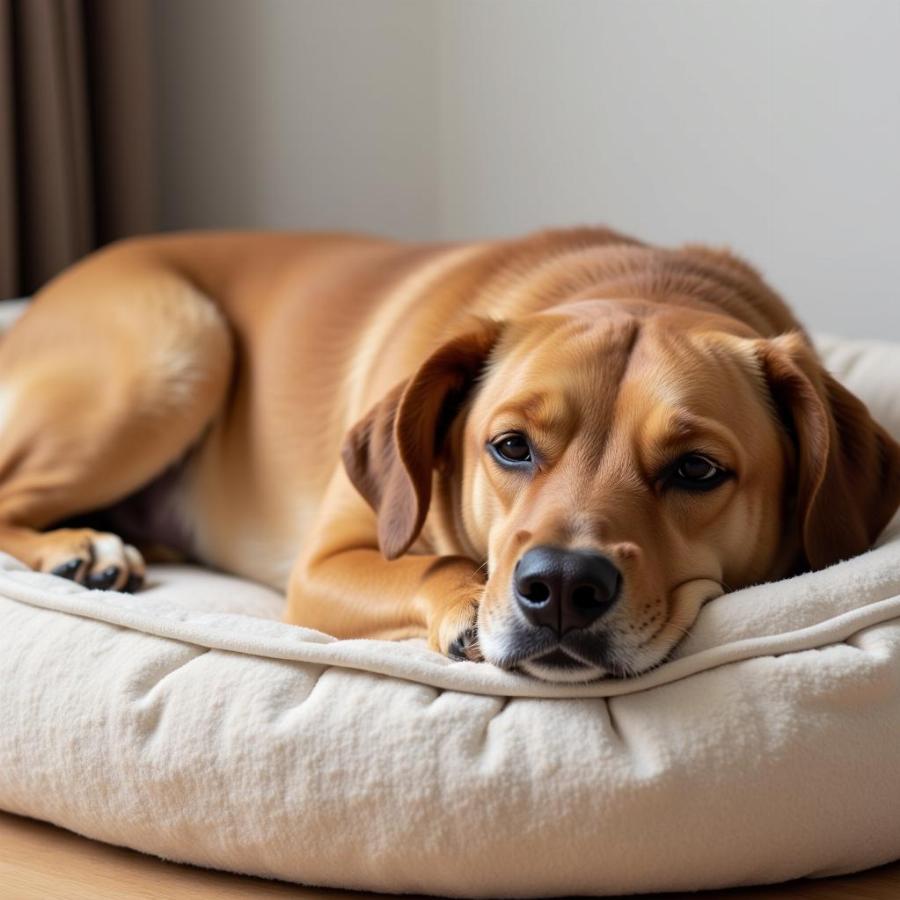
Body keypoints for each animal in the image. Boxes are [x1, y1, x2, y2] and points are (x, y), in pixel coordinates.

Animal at [0, 227, 896, 684]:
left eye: (698, 471)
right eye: (510, 447)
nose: (561, 588)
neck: (645, 283)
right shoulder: (322, 567)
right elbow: (428, 562)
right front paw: (466, 598)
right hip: (176, 354)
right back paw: (80, 547)